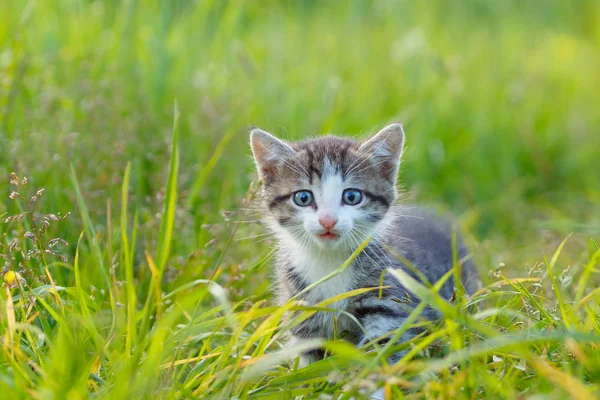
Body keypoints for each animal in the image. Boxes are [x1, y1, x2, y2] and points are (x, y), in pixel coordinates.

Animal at [247, 122, 478, 388]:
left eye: (352, 196)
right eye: (303, 197)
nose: (328, 221)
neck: (331, 262)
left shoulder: (387, 300)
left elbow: (382, 350)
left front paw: (369, 387)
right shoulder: (303, 308)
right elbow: (310, 361)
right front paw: (309, 385)